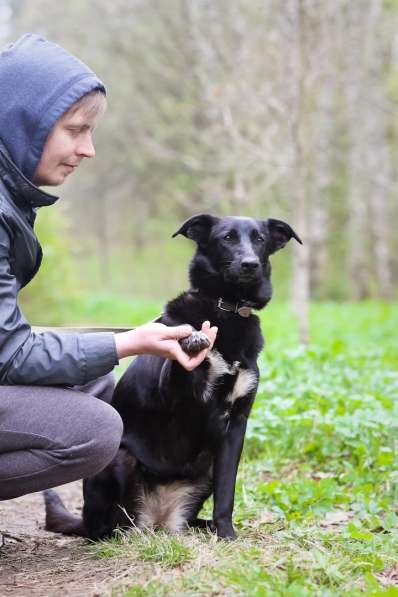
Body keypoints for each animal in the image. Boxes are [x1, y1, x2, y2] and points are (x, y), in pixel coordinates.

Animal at [44, 213, 302, 540]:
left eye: (260, 239)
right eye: (227, 238)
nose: (250, 264)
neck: (226, 309)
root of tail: (159, 520)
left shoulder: (236, 425)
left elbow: (226, 493)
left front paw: (226, 534)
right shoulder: (174, 395)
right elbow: (183, 364)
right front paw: (193, 341)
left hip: (205, 470)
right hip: (120, 459)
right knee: (111, 525)